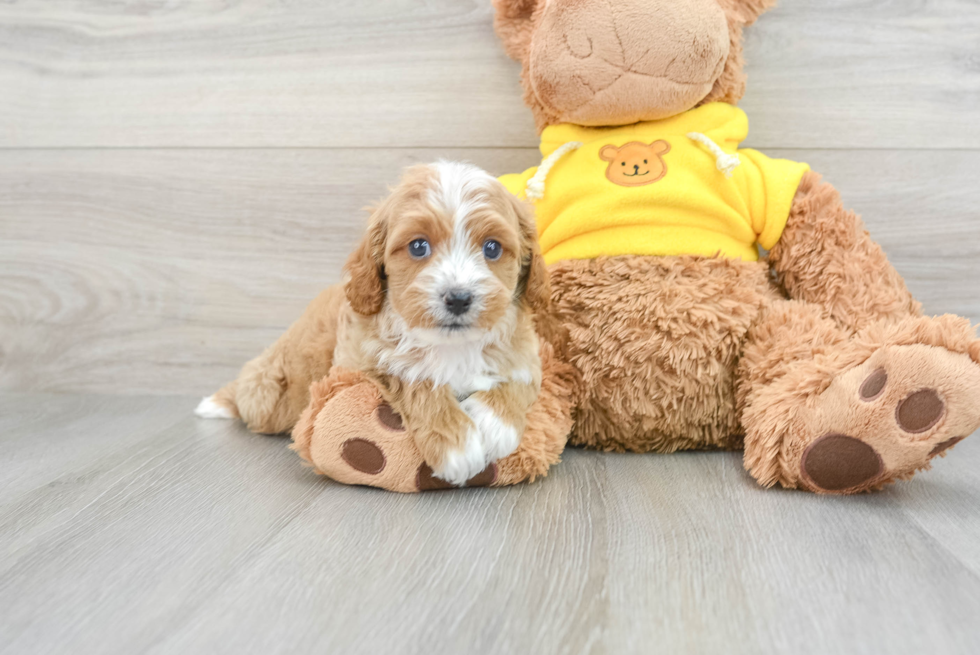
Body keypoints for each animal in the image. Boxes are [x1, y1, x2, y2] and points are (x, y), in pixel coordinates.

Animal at [199, 161, 552, 484]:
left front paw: (494, 423)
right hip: (275, 393)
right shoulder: (362, 361)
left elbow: (521, 380)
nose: (458, 298)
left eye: (492, 248)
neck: (449, 345)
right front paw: (457, 444)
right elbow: (412, 376)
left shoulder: (527, 353)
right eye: (418, 246)